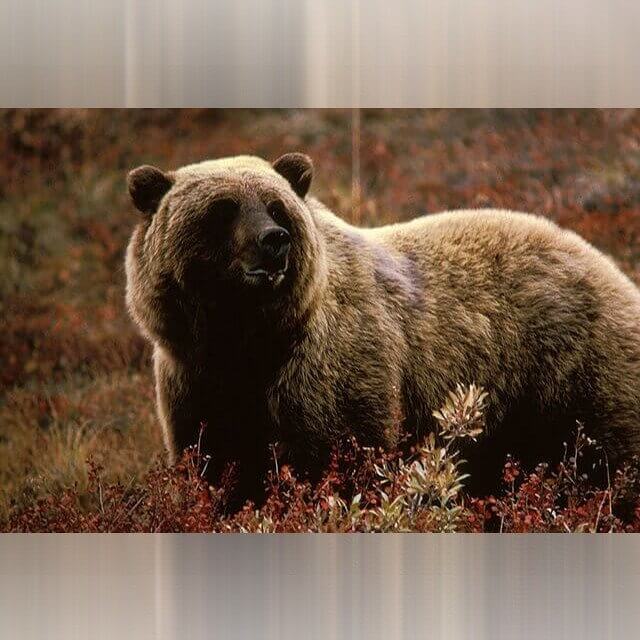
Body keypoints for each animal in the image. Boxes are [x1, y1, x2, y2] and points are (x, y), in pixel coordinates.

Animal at [125, 152, 640, 502]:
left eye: (275, 206)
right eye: (225, 208)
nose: (274, 241)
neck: (245, 340)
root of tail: (610, 267)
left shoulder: (327, 371)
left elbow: (339, 456)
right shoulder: (194, 382)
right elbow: (215, 465)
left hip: (572, 377)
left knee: (611, 459)